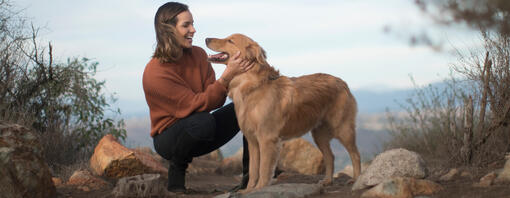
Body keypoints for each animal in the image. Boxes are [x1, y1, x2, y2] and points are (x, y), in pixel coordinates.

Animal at [205, 33, 360, 192]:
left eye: (230, 40)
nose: (206, 39)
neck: (253, 85)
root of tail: (343, 82)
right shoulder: (252, 141)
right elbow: (253, 170)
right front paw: (248, 190)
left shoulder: (267, 139)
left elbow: (263, 169)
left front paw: (259, 188)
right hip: (319, 135)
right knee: (330, 156)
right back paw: (328, 181)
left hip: (343, 129)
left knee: (355, 155)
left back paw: (355, 180)